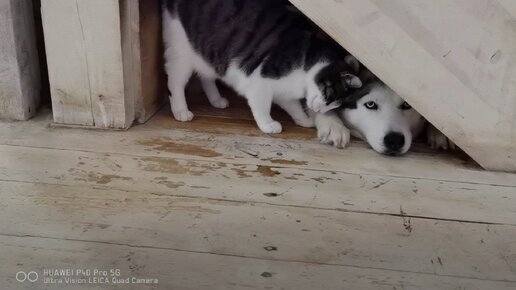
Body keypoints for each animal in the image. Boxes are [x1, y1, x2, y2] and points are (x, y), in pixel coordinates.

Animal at [163, 0, 360, 134]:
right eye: (329, 94)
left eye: (333, 107)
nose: (319, 110)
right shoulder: (260, 83)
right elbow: (262, 106)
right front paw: (268, 124)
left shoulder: (283, 92)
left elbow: (293, 107)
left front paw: (303, 120)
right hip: (182, 54)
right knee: (175, 84)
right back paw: (181, 111)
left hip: (208, 55)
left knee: (206, 76)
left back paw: (216, 100)